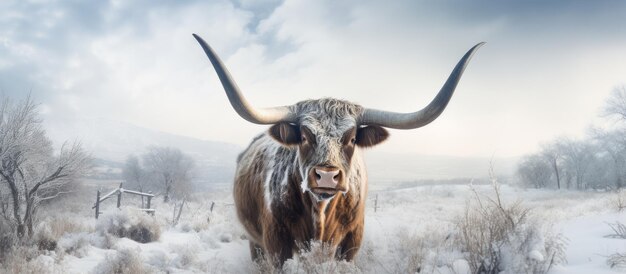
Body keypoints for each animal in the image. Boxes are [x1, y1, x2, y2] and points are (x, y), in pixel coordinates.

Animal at [193, 33, 480, 264]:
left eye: (352, 138)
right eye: (304, 136)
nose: (327, 176)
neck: (319, 215)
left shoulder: (351, 243)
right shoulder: (276, 244)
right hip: (255, 243)